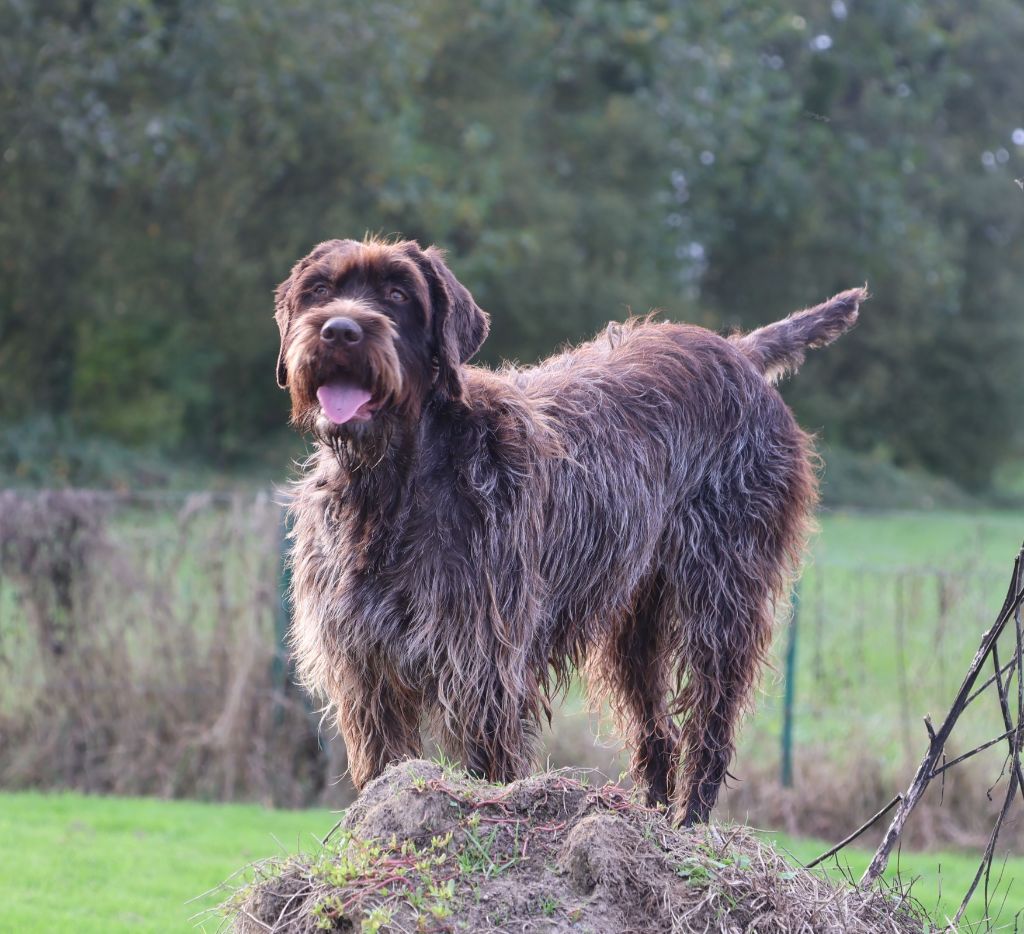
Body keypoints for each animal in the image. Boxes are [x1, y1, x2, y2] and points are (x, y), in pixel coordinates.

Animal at [274, 237, 864, 819]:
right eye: (319, 291)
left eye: (398, 293)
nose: (340, 330)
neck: (392, 486)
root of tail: (739, 351)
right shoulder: (366, 671)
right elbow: (384, 771)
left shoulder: (482, 669)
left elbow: (484, 768)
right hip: (637, 624)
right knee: (657, 733)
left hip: (721, 603)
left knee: (709, 726)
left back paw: (689, 820)